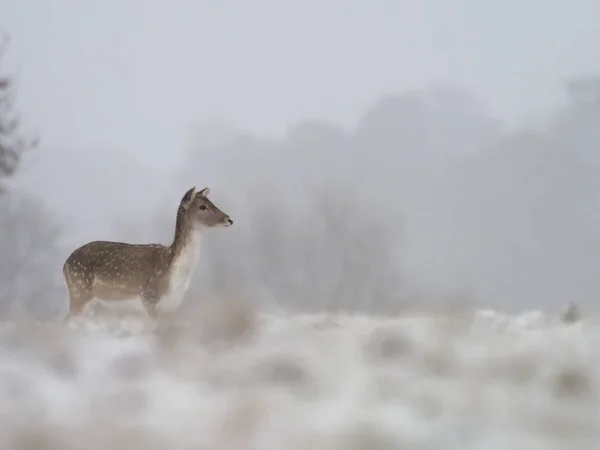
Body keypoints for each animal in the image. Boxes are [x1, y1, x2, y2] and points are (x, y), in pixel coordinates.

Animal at [61, 185, 233, 322]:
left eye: (212, 202)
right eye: (203, 206)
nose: (229, 219)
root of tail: (65, 264)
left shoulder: (171, 306)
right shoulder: (149, 298)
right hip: (79, 290)